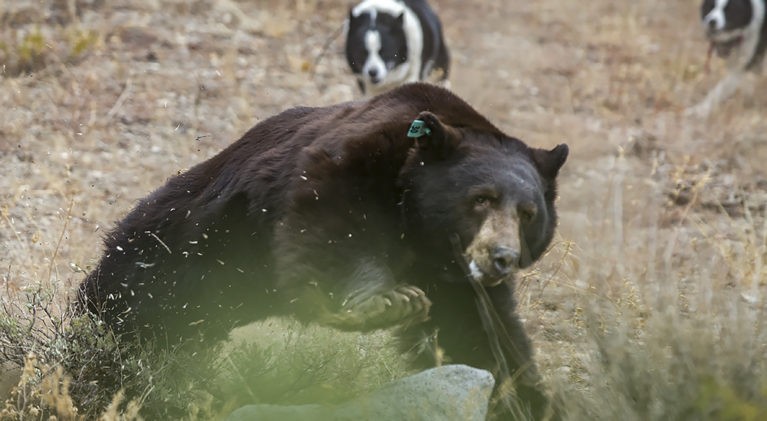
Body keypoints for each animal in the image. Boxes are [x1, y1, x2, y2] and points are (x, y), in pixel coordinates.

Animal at [79, 82, 568, 419]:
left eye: (528, 213)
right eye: (482, 198)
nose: (501, 257)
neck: (418, 223)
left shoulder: (456, 281)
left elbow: (479, 336)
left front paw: (526, 399)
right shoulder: (352, 163)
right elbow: (335, 227)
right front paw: (388, 301)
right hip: (188, 239)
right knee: (135, 301)